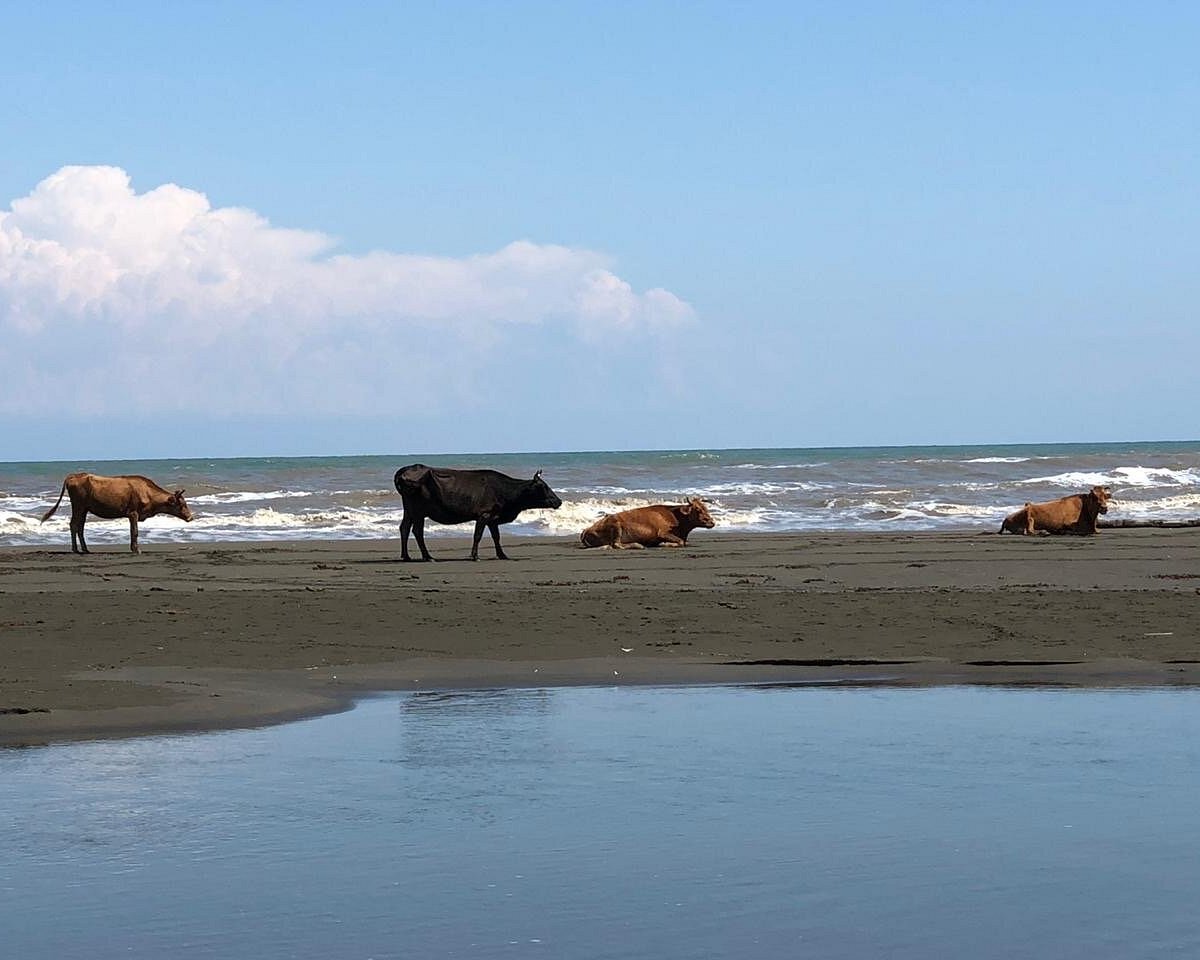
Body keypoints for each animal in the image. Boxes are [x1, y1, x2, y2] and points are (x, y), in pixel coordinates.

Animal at [39, 472, 195, 554]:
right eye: (182, 504)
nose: (190, 517)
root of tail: (73, 475)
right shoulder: (133, 513)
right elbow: (134, 532)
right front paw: (136, 549)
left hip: (84, 509)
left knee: (80, 526)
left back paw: (85, 549)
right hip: (78, 506)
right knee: (73, 525)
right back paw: (76, 550)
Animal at [393, 460, 561, 559]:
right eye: (543, 486)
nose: (558, 501)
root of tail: (405, 470)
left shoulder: (493, 518)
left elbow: (496, 537)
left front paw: (502, 555)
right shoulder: (484, 514)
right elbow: (477, 535)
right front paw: (474, 556)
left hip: (409, 510)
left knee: (404, 528)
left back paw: (406, 556)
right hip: (418, 511)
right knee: (417, 531)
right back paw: (427, 556)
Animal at [578, 494, 710, 547]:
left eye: (706, 507)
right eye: (698, 509)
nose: (711, 521)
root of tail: (586, 530)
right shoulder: (662, 533)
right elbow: (680, 542)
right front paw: (664, 544)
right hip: (616, 526)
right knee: (616, 544)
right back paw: (637, 545)